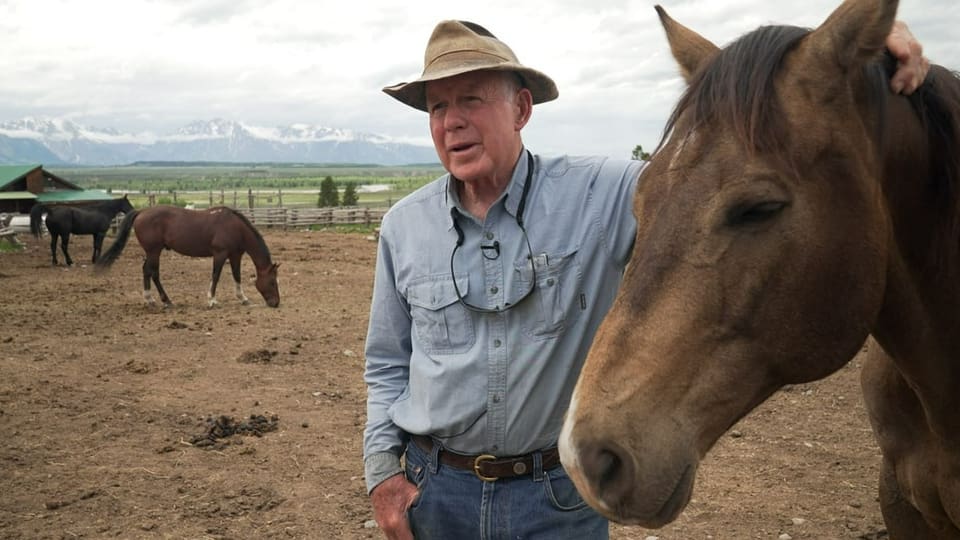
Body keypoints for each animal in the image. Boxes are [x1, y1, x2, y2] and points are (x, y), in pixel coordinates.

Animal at [95, 206, 280, 308]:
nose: (276, 303)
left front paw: (243, 298)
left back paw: (150, 299)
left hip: (152, 252)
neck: (235, 227)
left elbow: (237, 276)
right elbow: (216, 276)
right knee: (153, 272)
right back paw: (165, 300)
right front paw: (212, 300)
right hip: (154, 251)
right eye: (272, 282)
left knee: (146, 271)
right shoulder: (220, 254)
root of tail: (141, 212)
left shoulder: (235, 255)